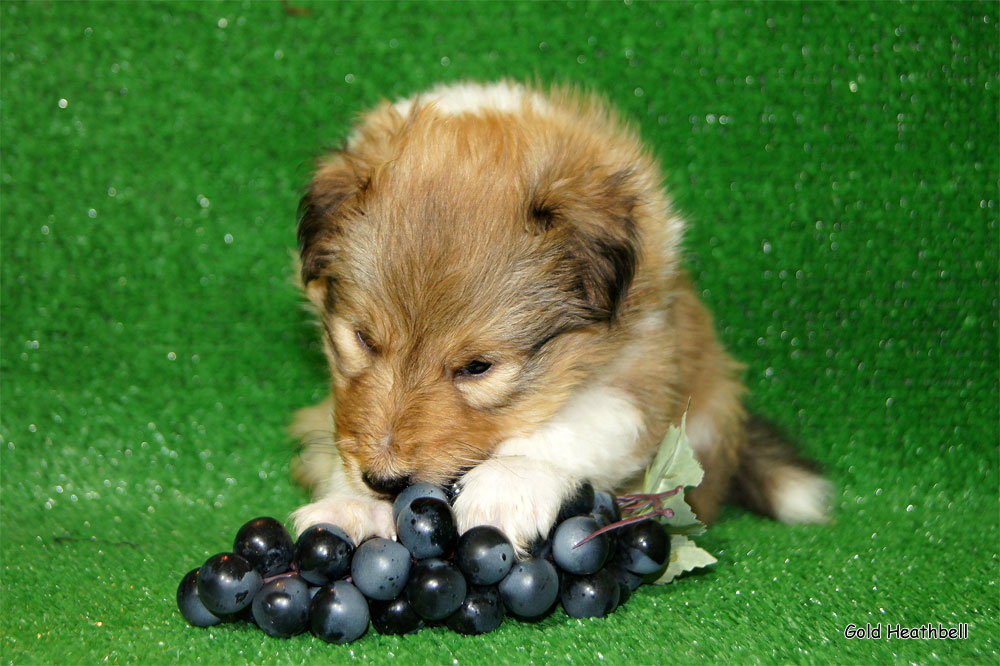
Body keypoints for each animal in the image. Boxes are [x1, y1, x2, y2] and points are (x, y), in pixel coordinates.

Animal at [288, 80, 828, 552]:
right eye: (362, 339)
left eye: (477, 367)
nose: (383, 480)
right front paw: (351, 503)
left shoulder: (642, 378)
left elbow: (563, 428)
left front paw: (505, 486)